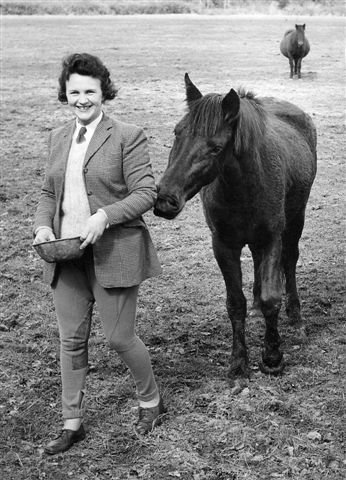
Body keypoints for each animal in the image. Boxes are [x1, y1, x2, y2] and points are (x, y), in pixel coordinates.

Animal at [155, 75, 318, 382]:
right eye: (177, 132)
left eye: (216, 147)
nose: (165, 200)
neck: (243, 187)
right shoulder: (223, 245)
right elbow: (235, 303)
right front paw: (238, 362)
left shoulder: (272, 238)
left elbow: (271, 298)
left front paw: (272, 357)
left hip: (296, 221)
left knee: (290, 263)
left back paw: (296, 318)